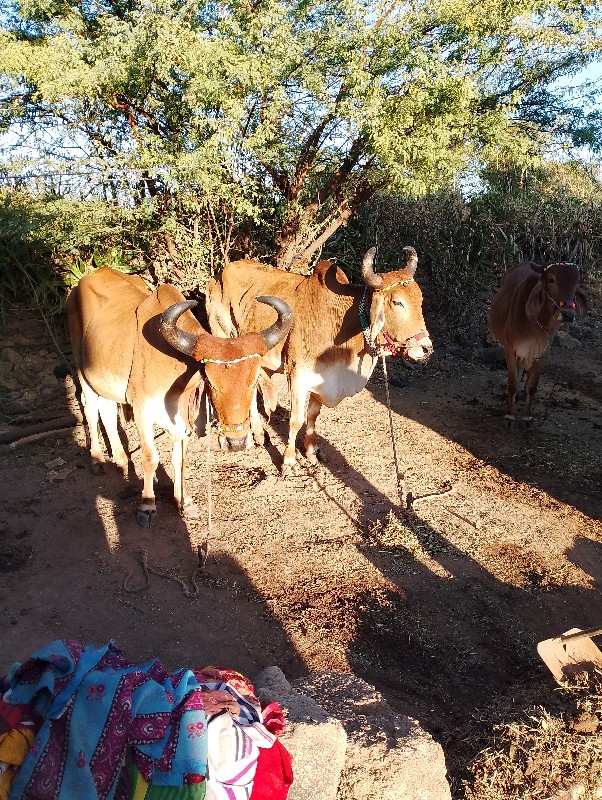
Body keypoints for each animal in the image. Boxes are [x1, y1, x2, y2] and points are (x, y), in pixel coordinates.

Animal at [66, 268, 290, 524]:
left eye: (252, 381)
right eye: (211, 382)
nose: (237, 443)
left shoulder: (181, 418)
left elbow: (180, 459)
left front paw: (184, 501)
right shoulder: (142, 411)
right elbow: (151, 458)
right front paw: (147, 505)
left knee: (108, 410)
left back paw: (121, 460)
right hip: (83, 370)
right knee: (91, 408)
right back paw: (97, 459)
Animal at [206, 247, 432, 476]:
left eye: (421, 301)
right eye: (397, 302)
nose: (426, 348)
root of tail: (219, 274)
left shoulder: (322, 379)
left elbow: (312, 416)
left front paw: (311, 452)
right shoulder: (298, 375)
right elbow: (296, 419)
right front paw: (289, 461)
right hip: (226, 341)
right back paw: (258, 435)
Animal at [488, 260, 584, 424]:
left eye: (576, 282)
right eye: (551, 279)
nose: (568, 315)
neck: (535, 322)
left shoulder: (544, 352)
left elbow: (532, 386)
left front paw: (526, 415)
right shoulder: (510, 348)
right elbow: (512, 383)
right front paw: (510, 414)